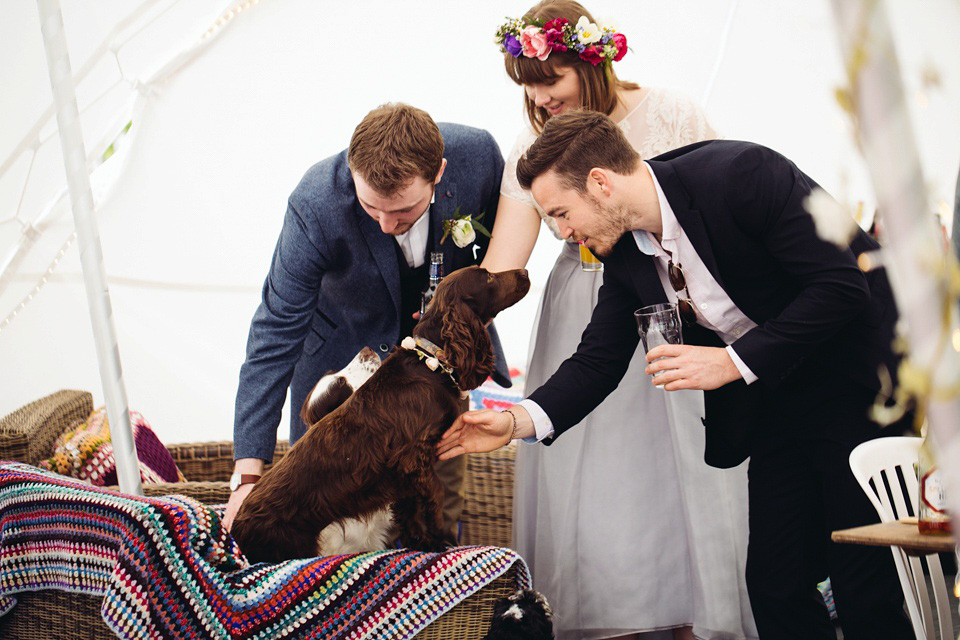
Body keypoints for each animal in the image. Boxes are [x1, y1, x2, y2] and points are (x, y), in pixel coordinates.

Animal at [232, 268, 532, 564]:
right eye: (488, 277)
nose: (525, 272)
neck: (429, 362)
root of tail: (236, 532)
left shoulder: (405, 471)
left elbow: (411, 509)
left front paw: (421, 542)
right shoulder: (413, 458)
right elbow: (433, 498)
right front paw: (439, 541)